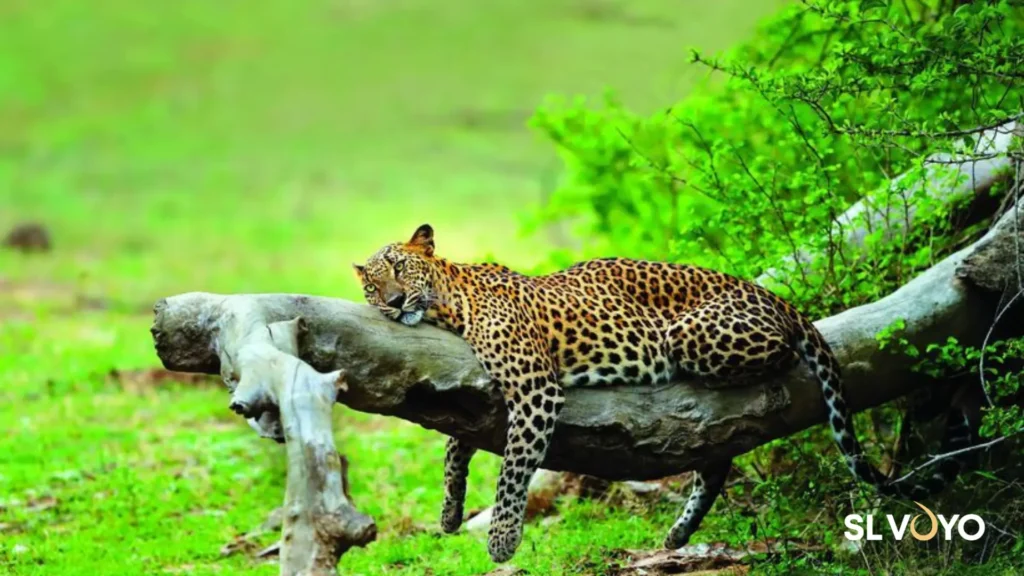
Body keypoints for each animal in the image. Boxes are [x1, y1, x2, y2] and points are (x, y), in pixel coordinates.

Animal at [354, 224, 973, 563]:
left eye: (401, 268)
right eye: (372, 283)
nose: (392, 303)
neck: (450, 301)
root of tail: (773, 296)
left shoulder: (534, 385)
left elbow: (512, 470)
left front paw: (503, 540)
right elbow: (455, 447)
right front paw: (451, 511)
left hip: (695, 335)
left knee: (768, 365)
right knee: (718, 454)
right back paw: (681, 531)